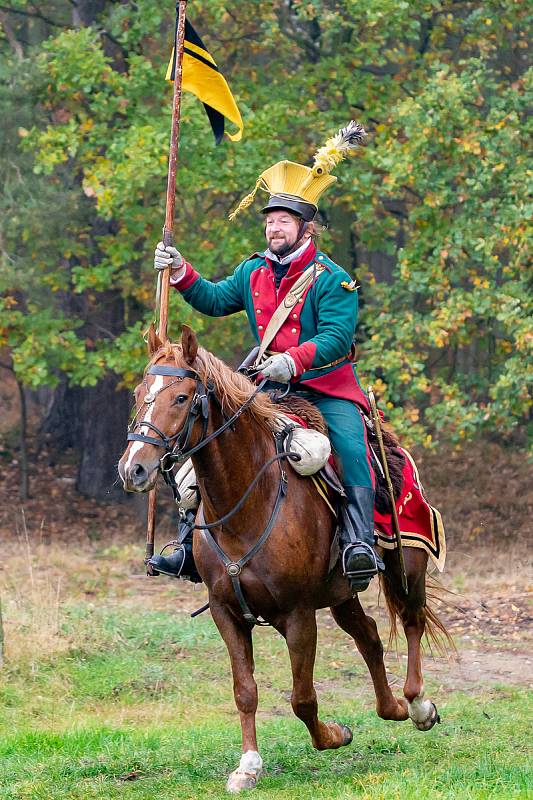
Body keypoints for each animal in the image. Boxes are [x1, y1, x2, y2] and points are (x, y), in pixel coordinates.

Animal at [118, 326, 446, 792]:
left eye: (181, 397)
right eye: (138, 393)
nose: (134, 470)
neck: (248, 500)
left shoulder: (298, 614)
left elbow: (302, 698)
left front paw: (334, 735)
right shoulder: (226, 611)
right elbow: (245, 690)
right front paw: (248, 765)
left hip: (408, 562)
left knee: (412, 620)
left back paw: (417, 705)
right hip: (341, 593)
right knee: (368, 635)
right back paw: (393, 708)